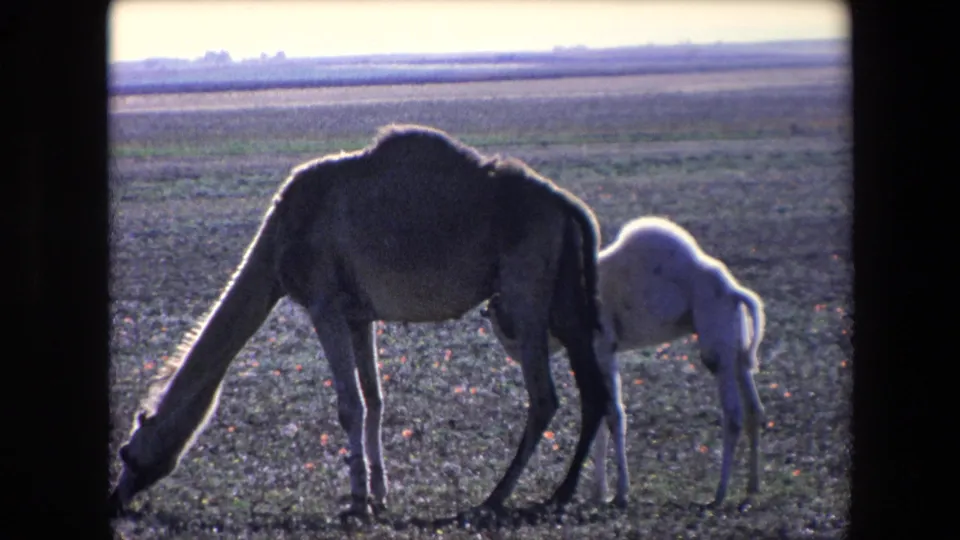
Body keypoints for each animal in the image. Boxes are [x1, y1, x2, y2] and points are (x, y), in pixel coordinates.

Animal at [108, 124, 611, 521]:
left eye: (128, 452)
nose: (118, 497)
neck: (276, 245)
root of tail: (571, 206)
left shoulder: (324, 303)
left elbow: (348, 404)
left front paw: (355, 501)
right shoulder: (359, 314)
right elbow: (374, 400)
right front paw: (378, 495)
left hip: (526, 293)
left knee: (545, 397)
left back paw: (496, 497)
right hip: (565, 295)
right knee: (594, 389)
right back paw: (561, 493)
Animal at [482, 215, 766, 508]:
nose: (514, 346)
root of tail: (735, 291)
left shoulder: (603, 346)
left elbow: (613, 412)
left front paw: (620, 493)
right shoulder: (606, 351)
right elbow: (604, 410)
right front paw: (600, 492)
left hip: (716, 341)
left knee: (733, 413)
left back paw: (719, 495)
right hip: (736, 344)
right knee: (754, 407)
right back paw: (751, 488)